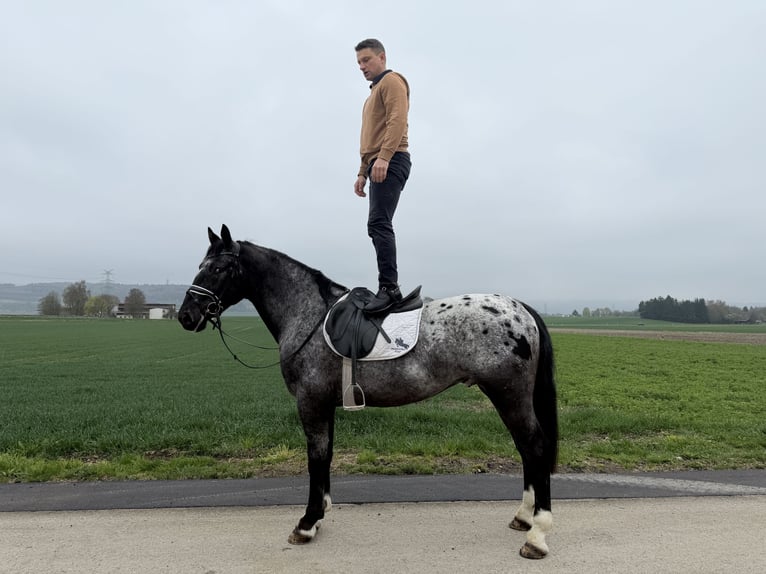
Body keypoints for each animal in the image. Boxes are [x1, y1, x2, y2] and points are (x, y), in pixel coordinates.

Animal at [178, 225, 558, 559]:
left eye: (218, 268)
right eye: (201, 266)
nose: (186, 315)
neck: (309, 316)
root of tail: (521, 309)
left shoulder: (311, 402)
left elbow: (316, 457)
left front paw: (307, 523)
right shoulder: (324, 405)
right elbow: (326, 455)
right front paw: (320, 514)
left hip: (509, 396)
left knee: (534, 448)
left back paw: (537, 535)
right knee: (526, 450)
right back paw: (523, 517)